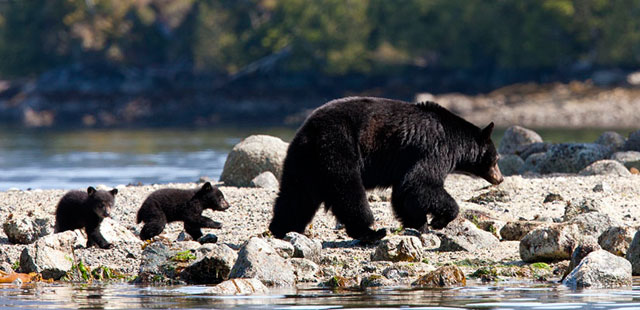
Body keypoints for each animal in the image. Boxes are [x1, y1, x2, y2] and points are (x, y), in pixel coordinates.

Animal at [268, 97, 502, 242]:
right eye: (496, 158)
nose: (500, 179)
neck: (456, 140)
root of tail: (310, 131)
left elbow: (403, 193)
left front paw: (420, 224)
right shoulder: (434, 150)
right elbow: (420, 184)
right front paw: (438, 220)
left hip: (303, 161)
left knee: (295, 197)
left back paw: (282, 229)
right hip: (337, 148)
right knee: (349, 193)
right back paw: (371, 232)